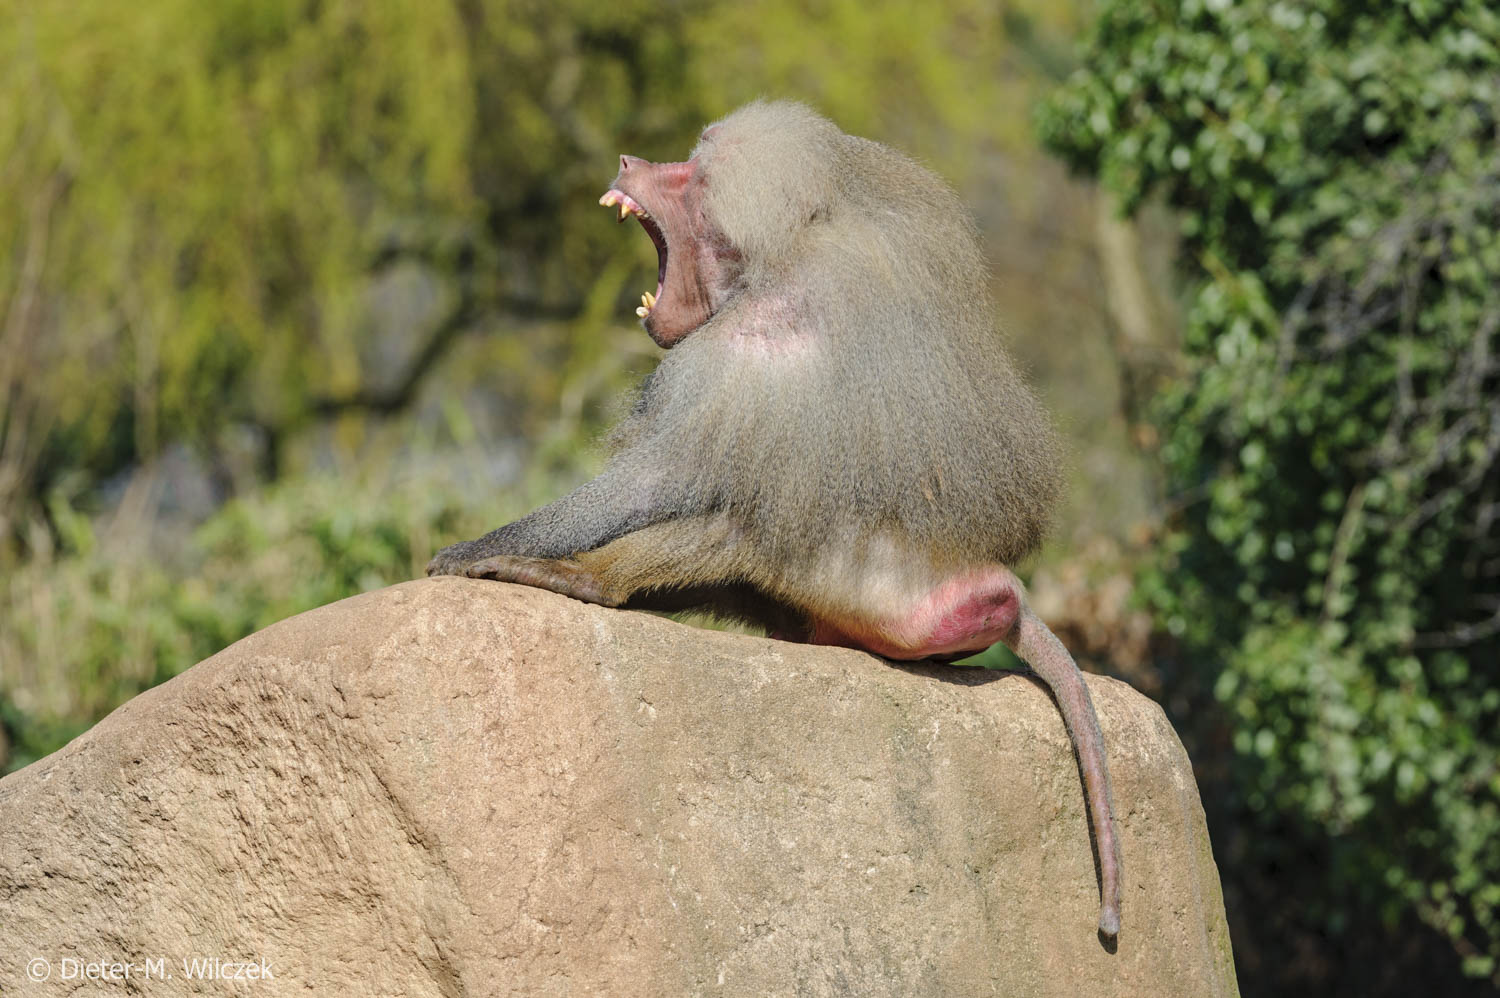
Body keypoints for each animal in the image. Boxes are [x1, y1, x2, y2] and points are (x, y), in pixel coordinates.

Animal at [427, 101, 1122, 939]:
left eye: (692, 177)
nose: (629, 161)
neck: (784, 256)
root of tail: (1000, 590)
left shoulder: (747, 341)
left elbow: (657, 479)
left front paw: (483, 548)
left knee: (740, 526)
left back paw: (585, 581)